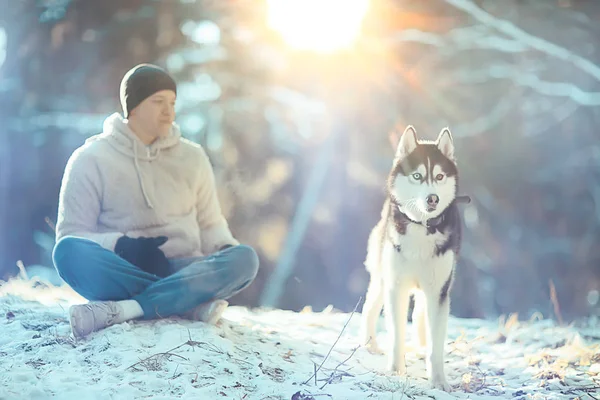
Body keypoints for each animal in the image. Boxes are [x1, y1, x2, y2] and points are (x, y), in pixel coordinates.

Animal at [358, 124, 466, 390]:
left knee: (420, 315)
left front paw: (438, 380)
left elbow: (436, 343)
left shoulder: (439, 290)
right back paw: (369, 343)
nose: (432, 198)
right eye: (417, 176)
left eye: (439, 177)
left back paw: (421, 346)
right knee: (370, 307)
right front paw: (395, 370)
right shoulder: (396, 286)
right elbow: (396, 333)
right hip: (382, 277)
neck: (422, 227)